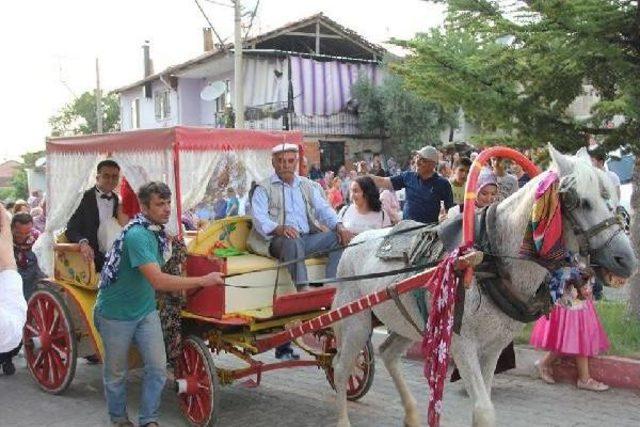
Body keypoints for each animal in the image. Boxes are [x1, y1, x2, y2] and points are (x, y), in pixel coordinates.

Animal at [332, 145, 636, 426]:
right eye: (580, 201)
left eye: (614, 199)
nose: (627, 260)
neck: (488, 258)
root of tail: (355, 241)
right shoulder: (461, 344)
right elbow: (484, 409)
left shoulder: (493, 347)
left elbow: (485, 403)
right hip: (356, 321)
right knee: (342, 367)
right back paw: (343, 418)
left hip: (410, 322)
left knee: (388, 354)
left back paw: (411, 413)